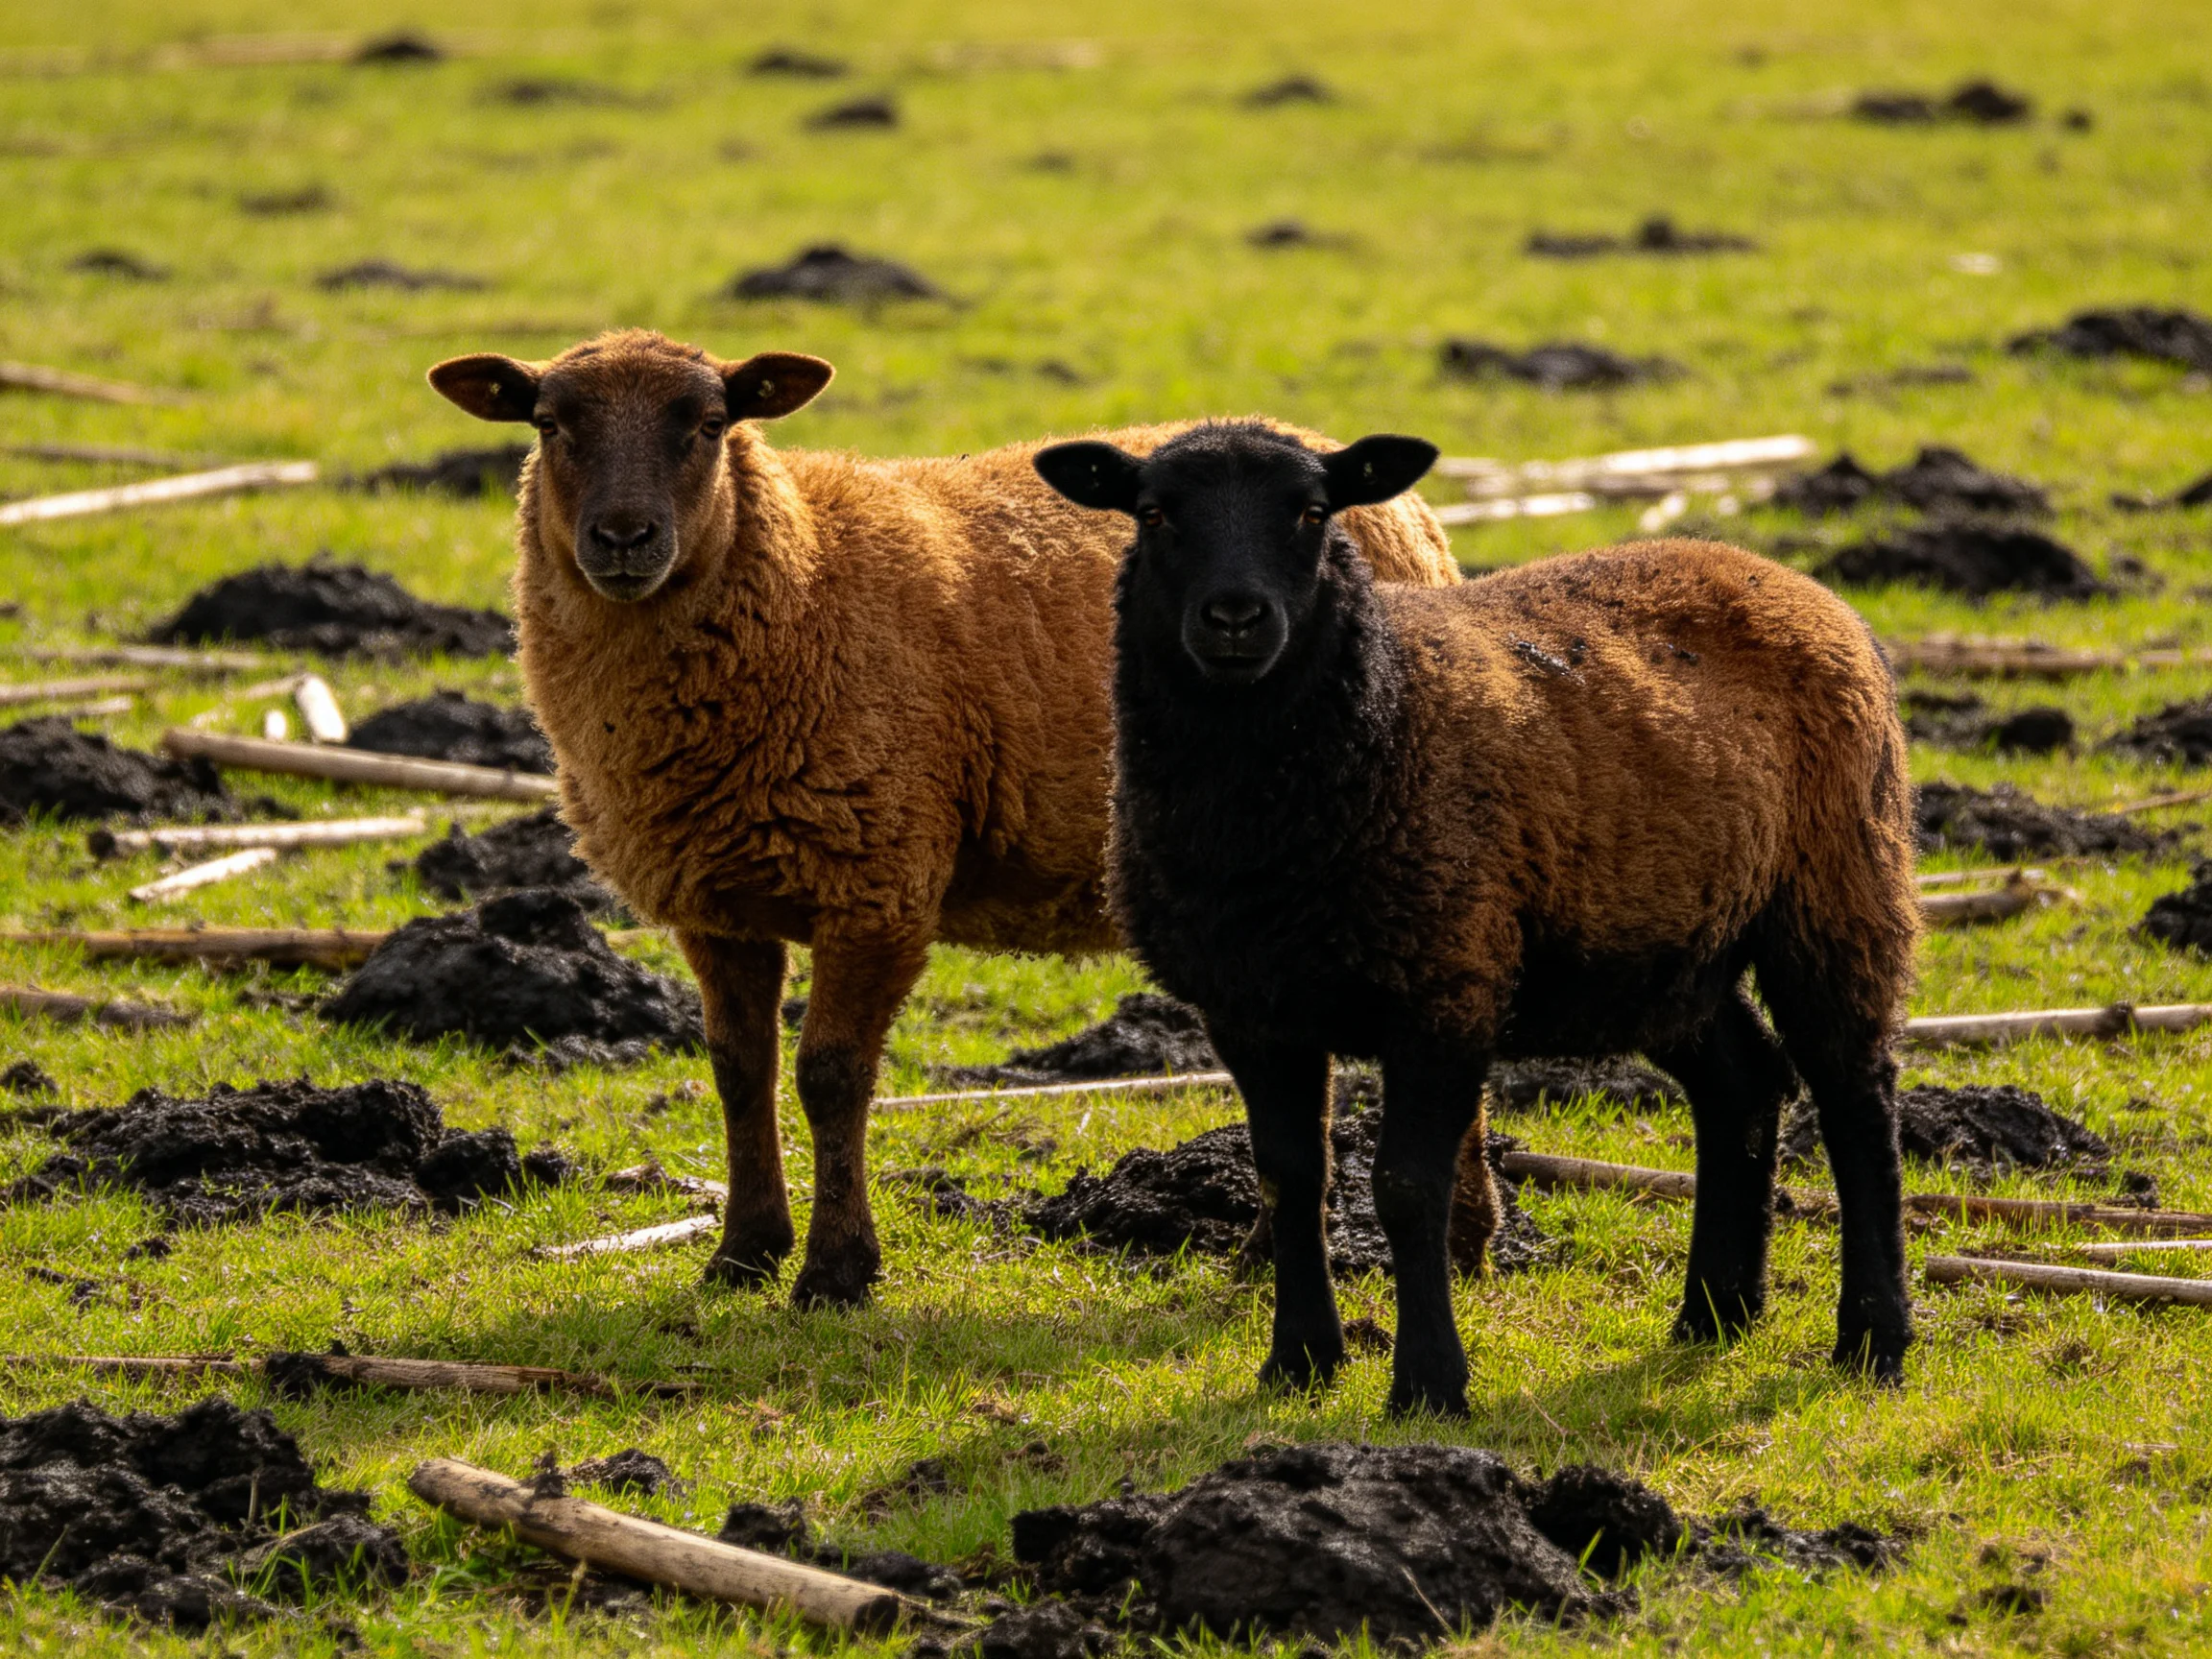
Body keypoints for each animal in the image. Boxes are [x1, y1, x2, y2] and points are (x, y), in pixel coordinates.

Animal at [424, 329, 1460, 1308]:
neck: (805, 578)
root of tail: (1400, 506)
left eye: (710, 423)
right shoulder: (717, 904)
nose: (624, 538)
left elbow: (830, 1076)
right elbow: (738, 1068)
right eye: (547, 423)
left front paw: (835, 1272)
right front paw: (742, 1253)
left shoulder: (876, 880)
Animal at [1034, 421, 1918, 1416]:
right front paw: (1299, 1362)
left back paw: (1873, 1339)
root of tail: (1781, 578)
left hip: (1836, 886)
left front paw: (1427, 1383)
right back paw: (1715, 1314)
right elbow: (1290, 1178)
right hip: (1666, 947)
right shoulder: (1251, 1009)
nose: (1234, 618)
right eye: (1152, 514)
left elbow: (1405, 1187)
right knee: (1745, 1082)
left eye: (1313, 512)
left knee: (1857, 1101)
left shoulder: (1446, 983)